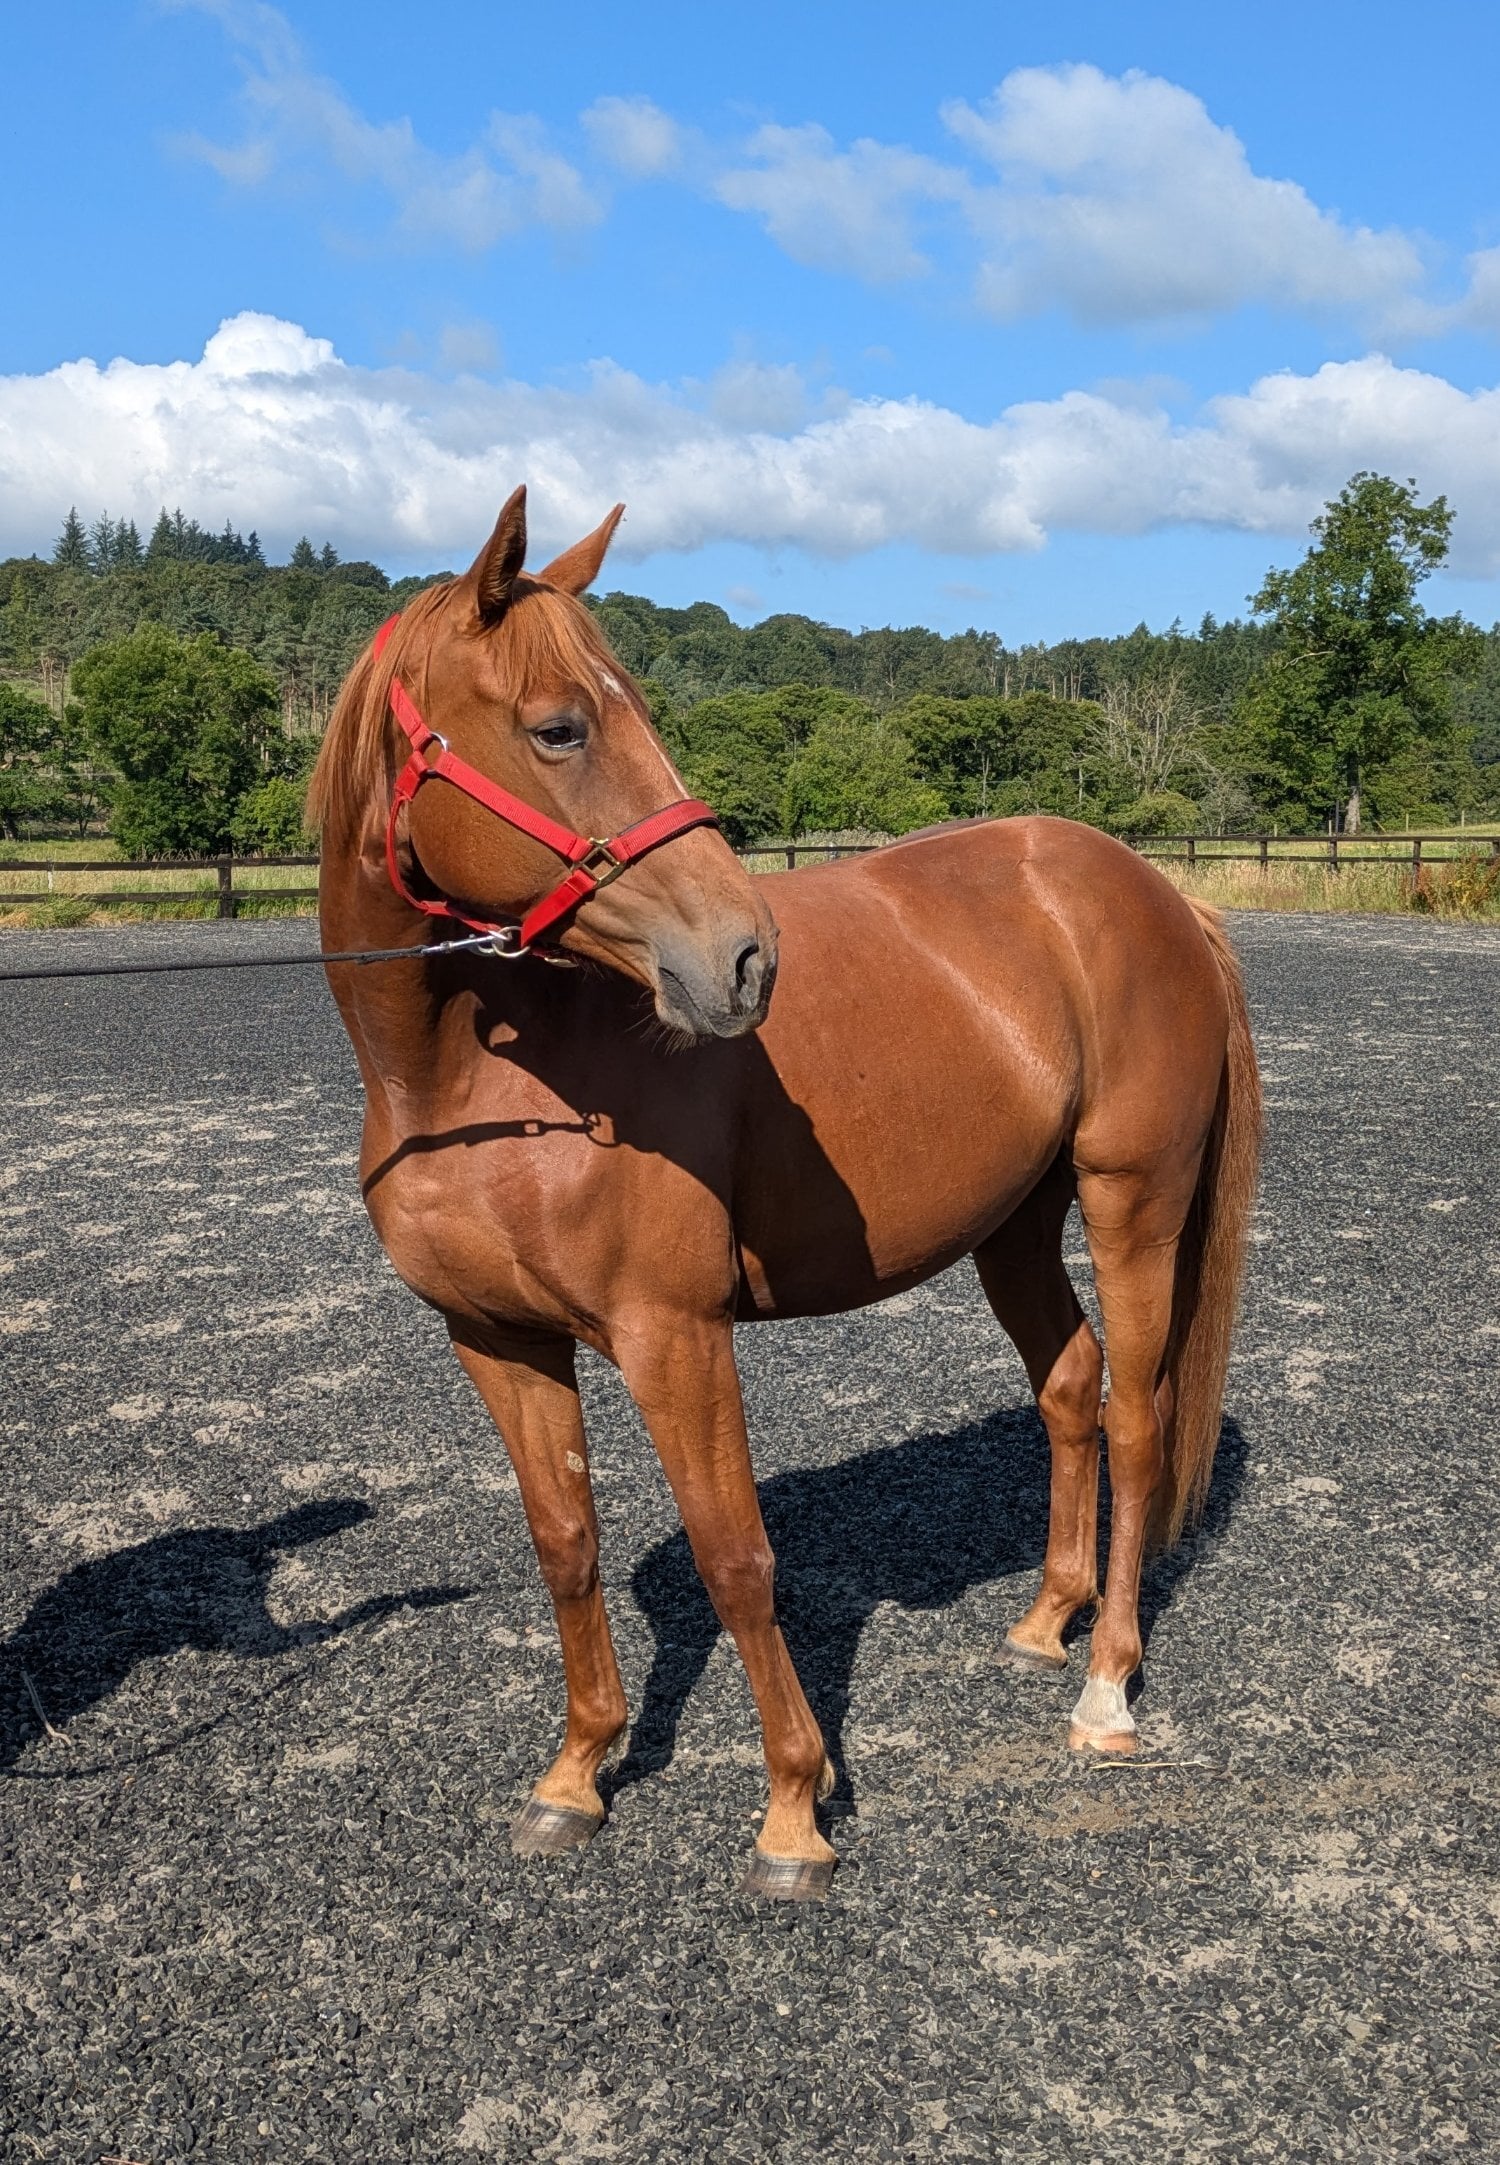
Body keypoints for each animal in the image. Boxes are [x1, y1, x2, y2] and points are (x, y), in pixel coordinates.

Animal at [309, 487, 1261, 1902]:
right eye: (560, 726)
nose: (745, 957)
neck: (481, 1084)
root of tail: (1158, 893)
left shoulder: (675, 1335)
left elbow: (736, 1556)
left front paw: (794, 1811)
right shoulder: (497, 1339)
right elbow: (566, 1541)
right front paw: (575, 1775)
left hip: (1130, 1198)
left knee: (1137, 1419)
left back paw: (1104, 1688)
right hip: (1013, 1224)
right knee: (1071, 1383)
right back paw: (1046, 1618)